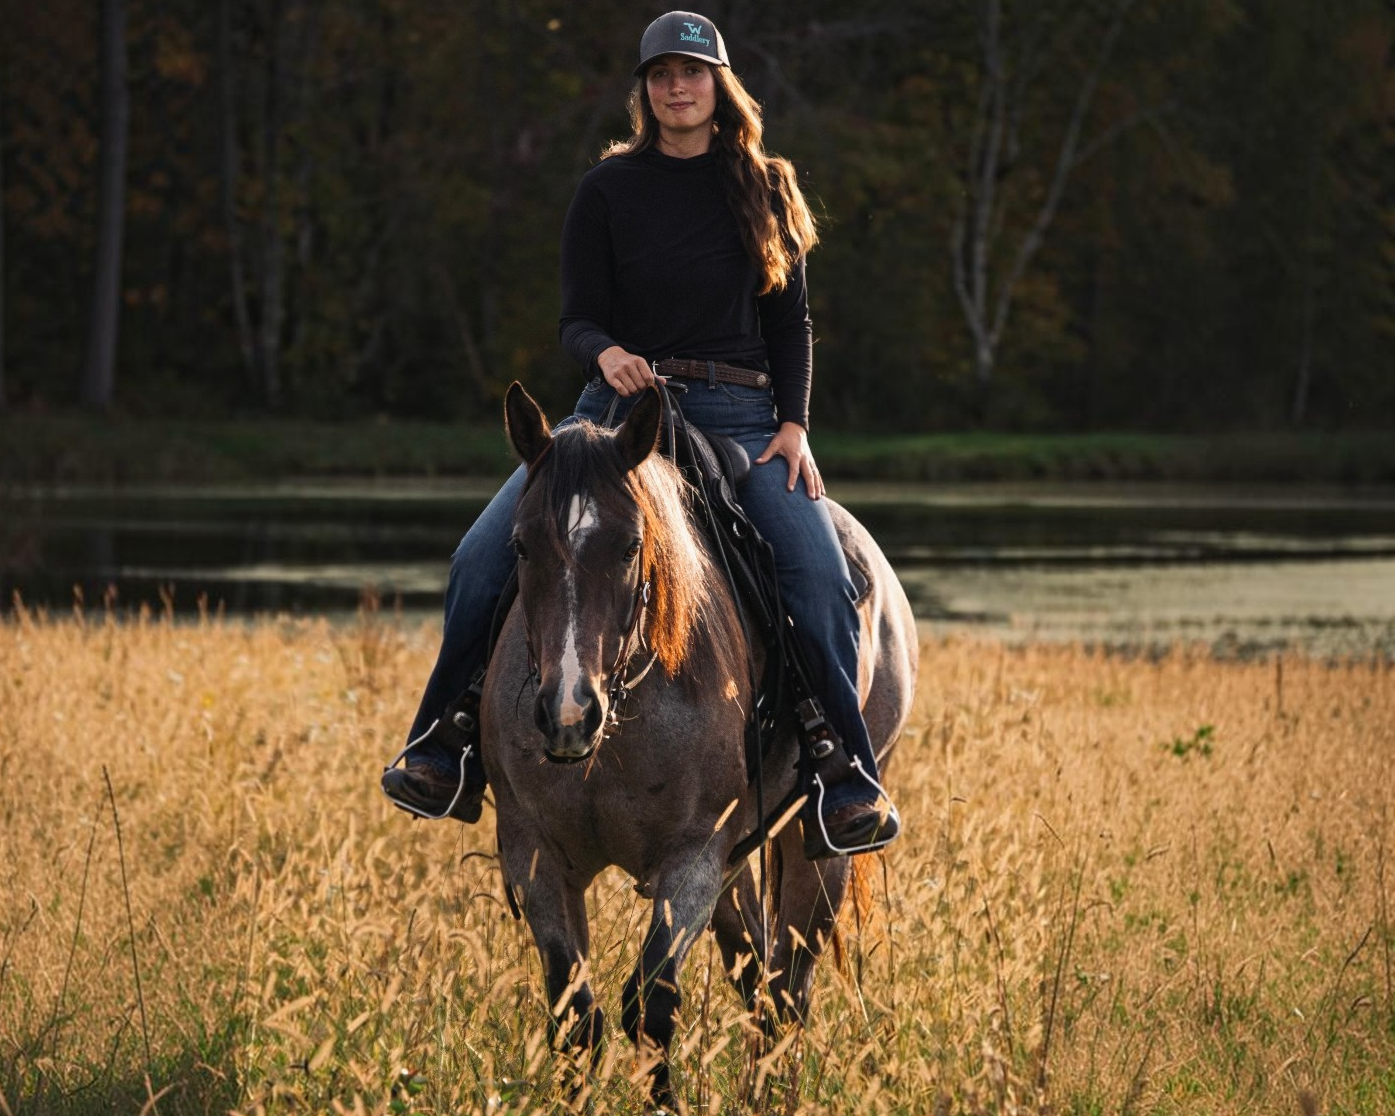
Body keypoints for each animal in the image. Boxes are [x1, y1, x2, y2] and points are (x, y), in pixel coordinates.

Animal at [482, 382, 919, 1106]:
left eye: (630, 546)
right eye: (519, 545)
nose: (569, 712)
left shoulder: (692, 859)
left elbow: (649, 1007)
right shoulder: (535, 856)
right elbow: (576, 1019)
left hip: (814, 848)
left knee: (787, 992)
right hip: (739, 868)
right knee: (759, 982)